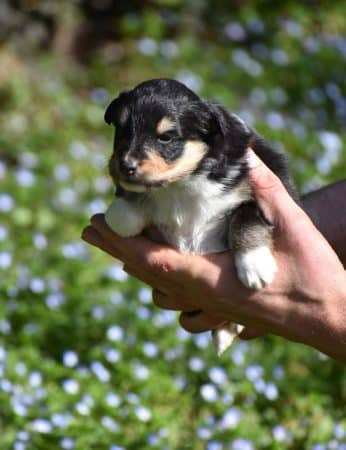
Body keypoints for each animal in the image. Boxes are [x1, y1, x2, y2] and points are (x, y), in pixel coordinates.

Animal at [102, 80, 294, 356]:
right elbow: (124, 217)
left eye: (166, 137)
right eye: (122, 130)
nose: (126, 166)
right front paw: (122, 213)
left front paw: (254, 264)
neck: (181, 183)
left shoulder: (258, 194)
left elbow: (245, 217)